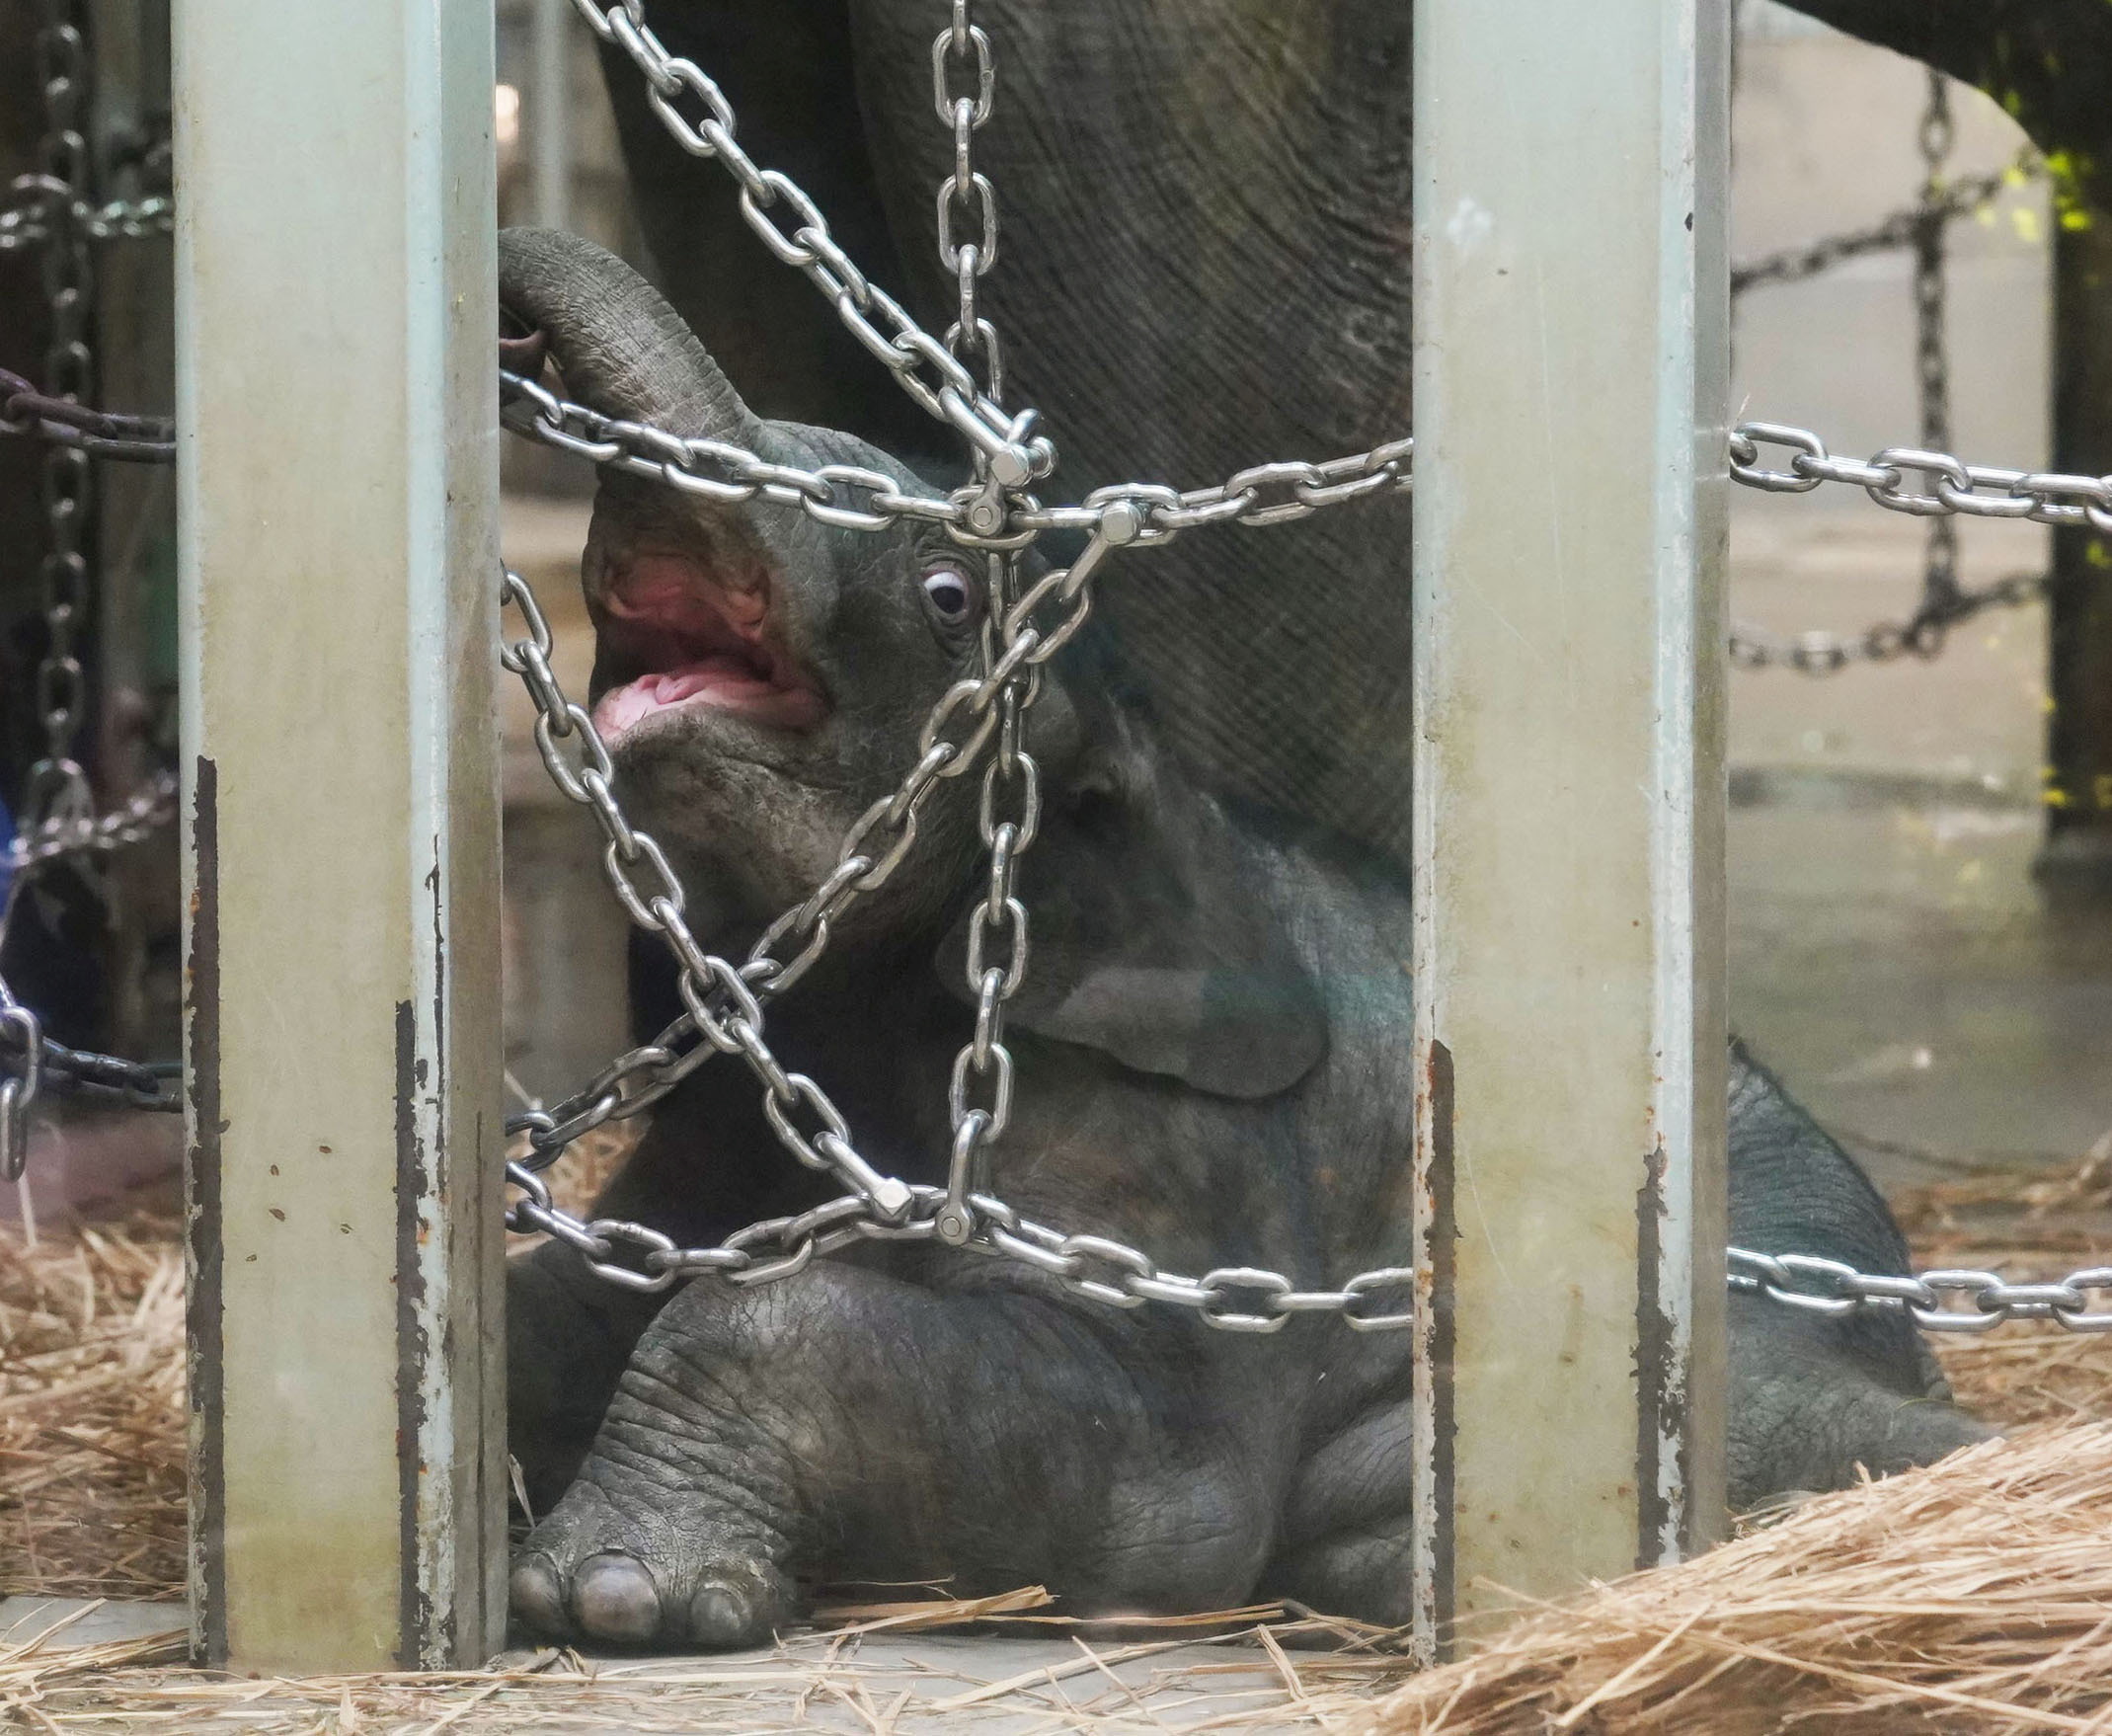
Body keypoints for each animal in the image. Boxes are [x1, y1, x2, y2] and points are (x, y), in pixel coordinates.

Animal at [494, 227, 1977, 1647]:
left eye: (947, 594)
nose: (513, 332)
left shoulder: (1183, 1141)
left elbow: (1162, 1491)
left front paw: (613, 1596)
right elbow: (580, 1293)